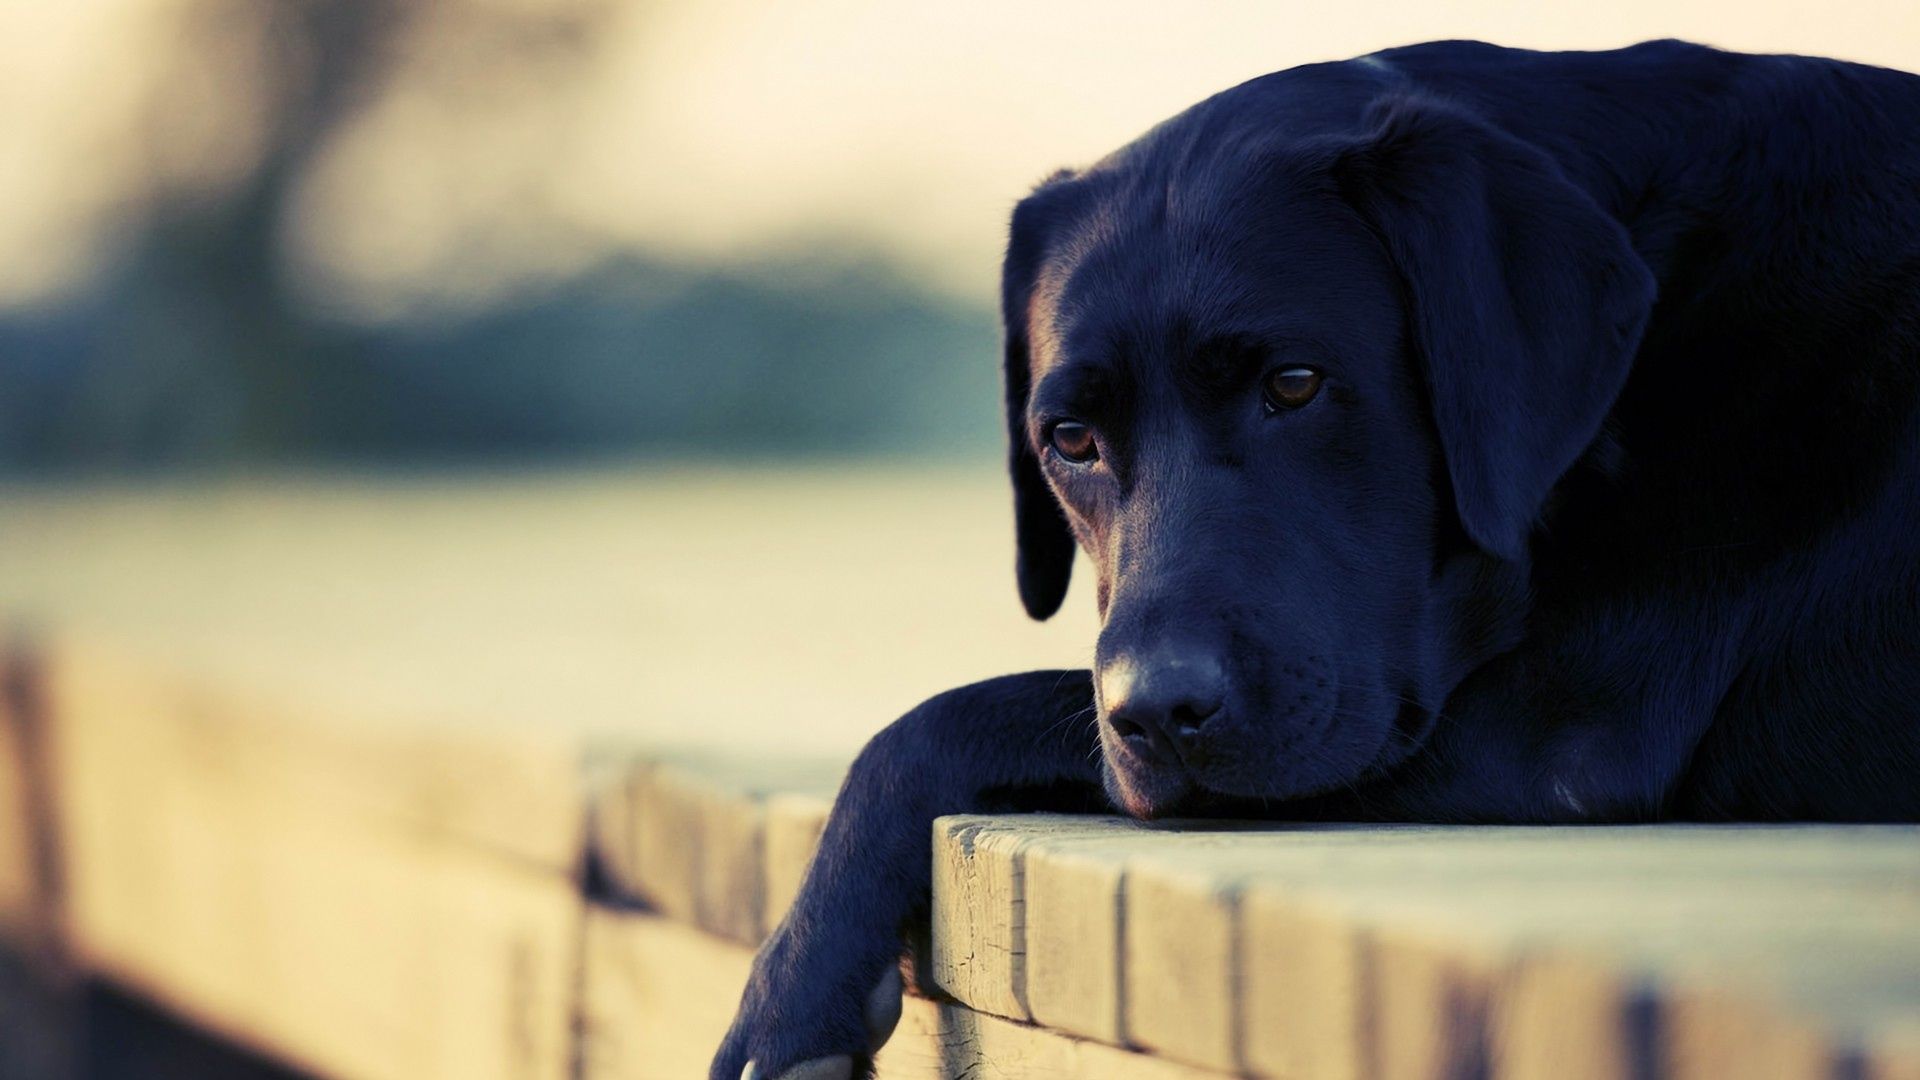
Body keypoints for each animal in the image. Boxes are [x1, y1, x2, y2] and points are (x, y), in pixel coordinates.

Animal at [718, 37, 1920, 1068]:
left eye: (1294, 384)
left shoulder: (1554, 734)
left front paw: (794, 995)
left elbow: (945, 714)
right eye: (1070, 438)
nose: (1157, 712)